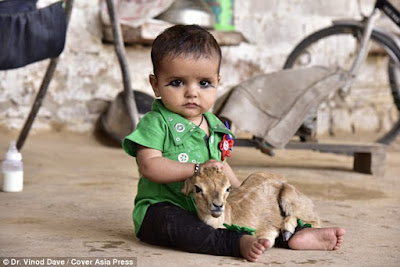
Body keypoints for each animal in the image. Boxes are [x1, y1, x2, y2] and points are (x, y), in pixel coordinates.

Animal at [183, 168, 320, 247]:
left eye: (227, 188)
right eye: (197, 188)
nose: (218, 205)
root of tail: (283, 178)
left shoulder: (267, 231)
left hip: (290, 196)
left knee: (315, 220)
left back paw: (287, 230)